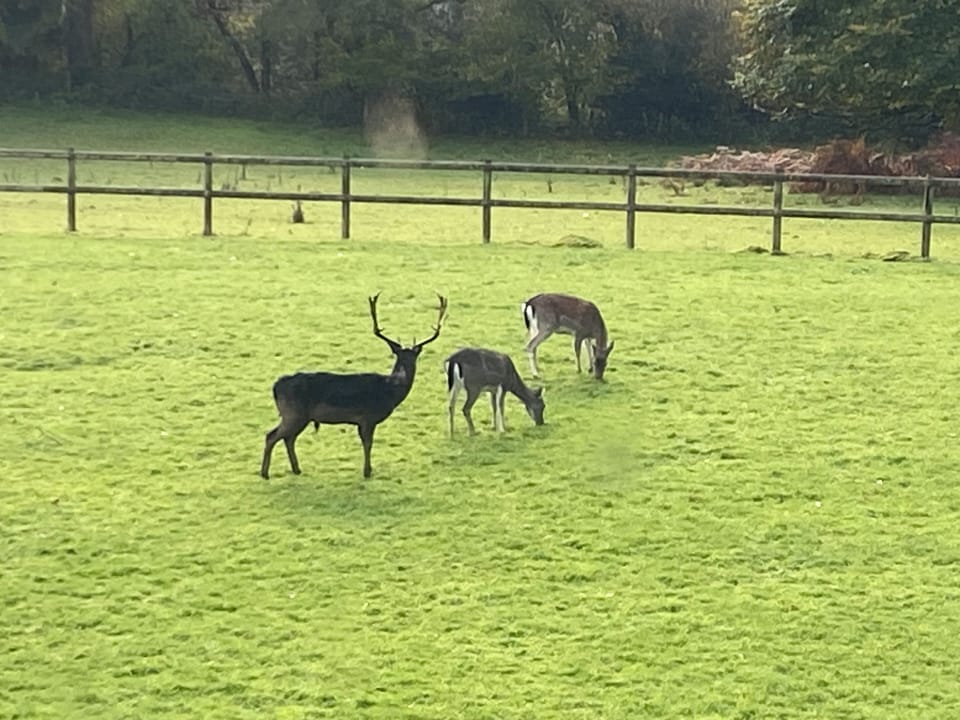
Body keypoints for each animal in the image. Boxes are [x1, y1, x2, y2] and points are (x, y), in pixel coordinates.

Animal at [260, 292, 448, 480]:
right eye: (400, 357)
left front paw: (367, 470)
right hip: (293, 412)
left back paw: (296, 469)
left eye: (412, 357)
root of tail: (276, 386)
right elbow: (368, 443)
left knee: (288, 438)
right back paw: (265, 473)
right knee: (272, 435)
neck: (390, 391)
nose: (403, 373)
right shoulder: (368, 417)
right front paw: (367, 472)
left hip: (300, 416)